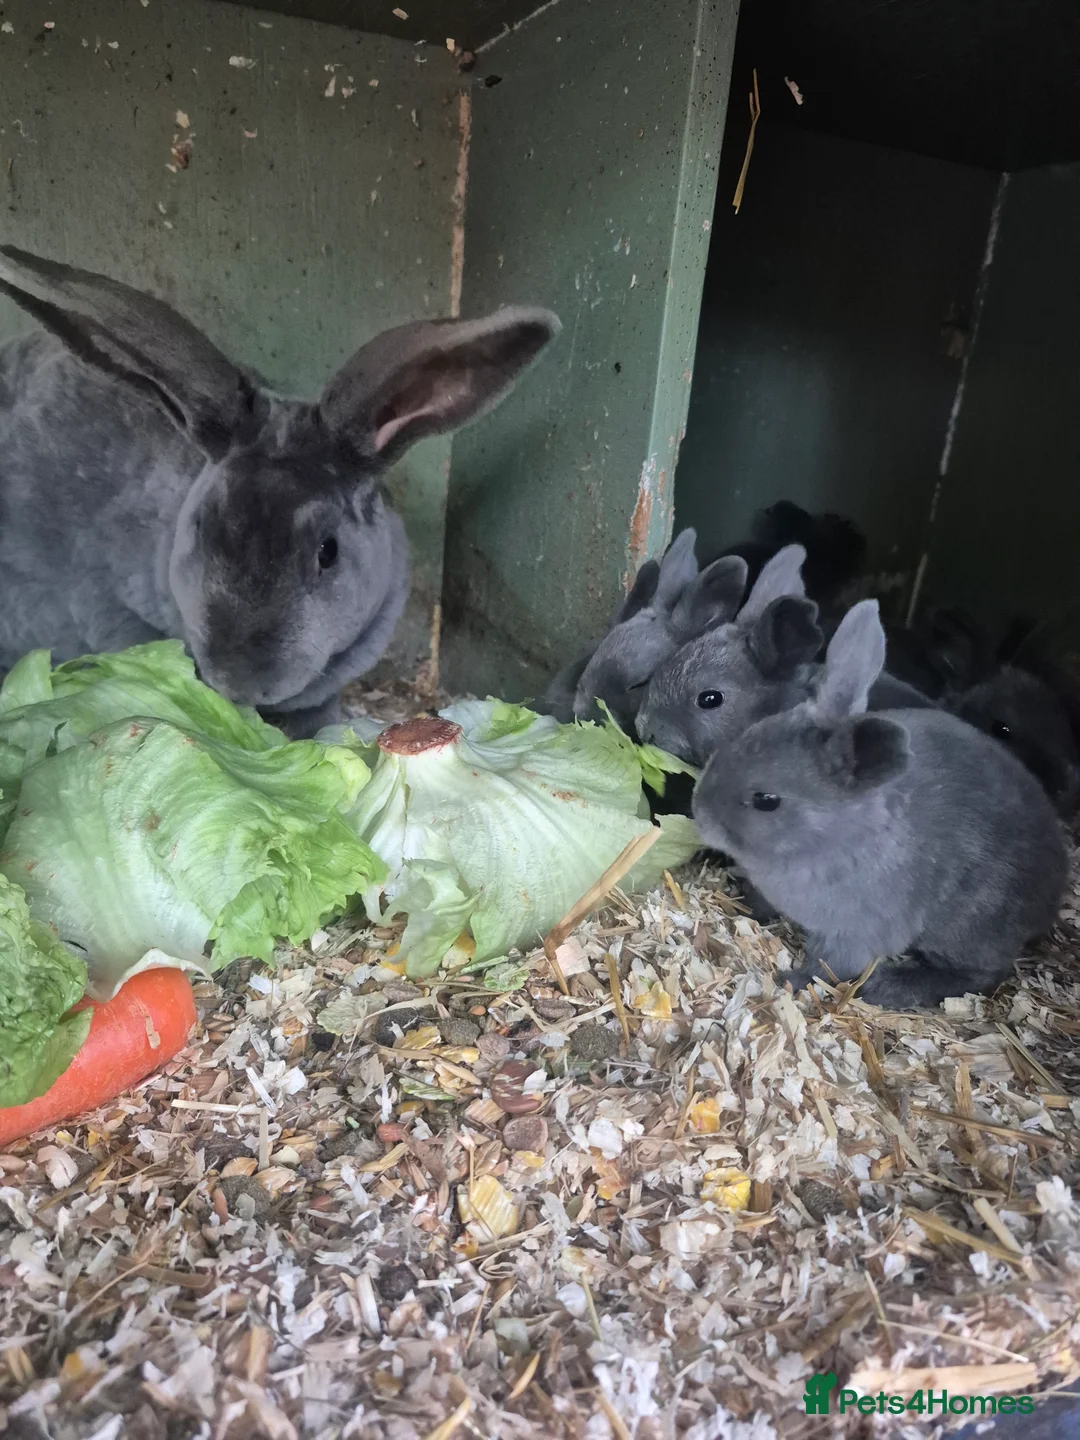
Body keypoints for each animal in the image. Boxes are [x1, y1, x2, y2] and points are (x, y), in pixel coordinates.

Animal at [691, 599, 1068, 1010]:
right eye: (746, 736)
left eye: (766, 800)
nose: (699, 812)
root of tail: (1054, 894)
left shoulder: (854, 934)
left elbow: (826, 966)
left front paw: (790, 981)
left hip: (967, 929)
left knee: (979, 974)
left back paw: (887, 986)